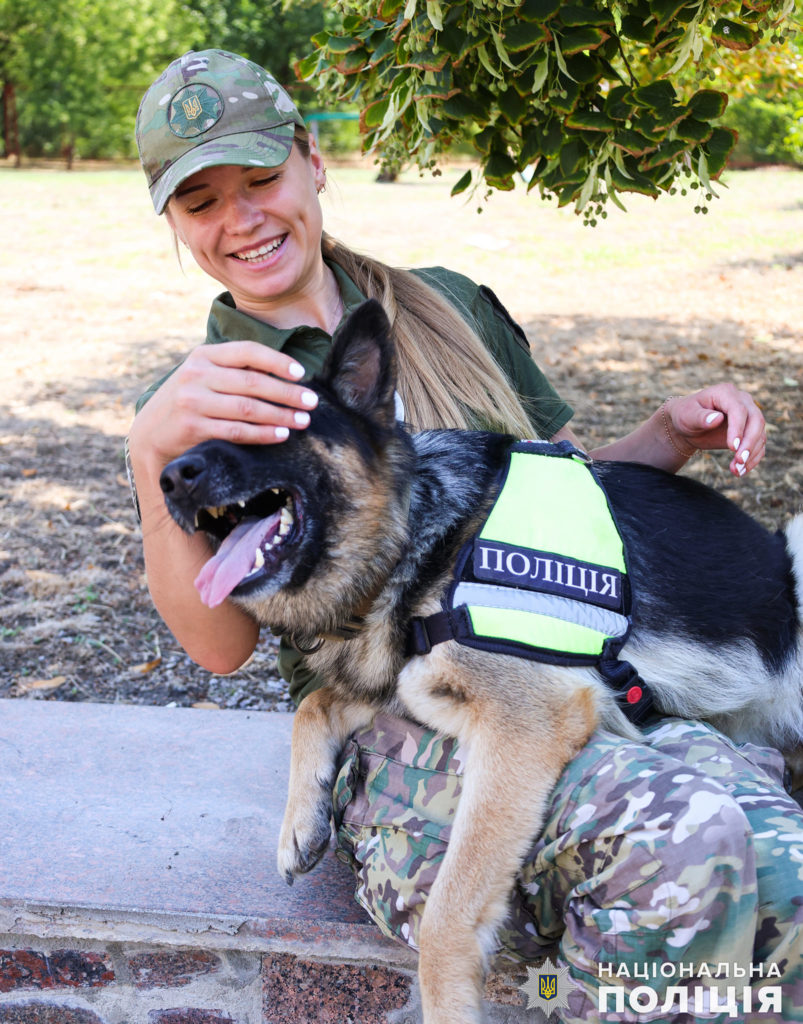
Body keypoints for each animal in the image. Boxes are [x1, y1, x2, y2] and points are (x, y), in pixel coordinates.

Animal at [158, 299, 802, 1024]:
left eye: (265, 420)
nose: (169, 479)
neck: (421, 532)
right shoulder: (402, 687)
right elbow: (314, 704)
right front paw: (301, 817)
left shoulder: (521, 727)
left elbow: (447, 912)